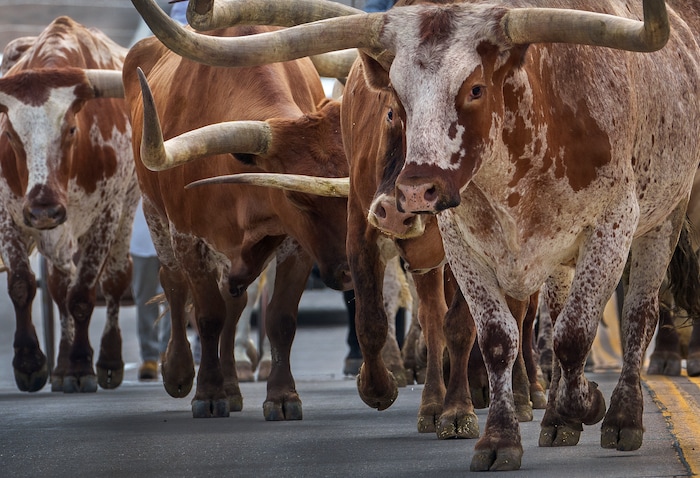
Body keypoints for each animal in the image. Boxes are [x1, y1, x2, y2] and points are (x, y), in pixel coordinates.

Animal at [0, 16, 138, 393]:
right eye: (10, 134)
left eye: (72, 129)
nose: (44, 210)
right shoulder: (8, 213)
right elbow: (22, 283)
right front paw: (30, 362)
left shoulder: (106, 215)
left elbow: (83, 293)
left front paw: (80, 366)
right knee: (59, 286)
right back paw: (59, 368)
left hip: (129, 206)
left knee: (116, 278)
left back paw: (107, 362)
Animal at [121, 24, 352, 419]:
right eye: (296, 196)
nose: (350, 270)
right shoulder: (189, 238)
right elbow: (207, 315)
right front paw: (207, 393)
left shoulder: (297, 245)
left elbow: (279, 318)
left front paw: (281, 395)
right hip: (155, 216)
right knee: (174, 283)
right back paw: (179, 372)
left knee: (235, 303)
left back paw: (232, 385)